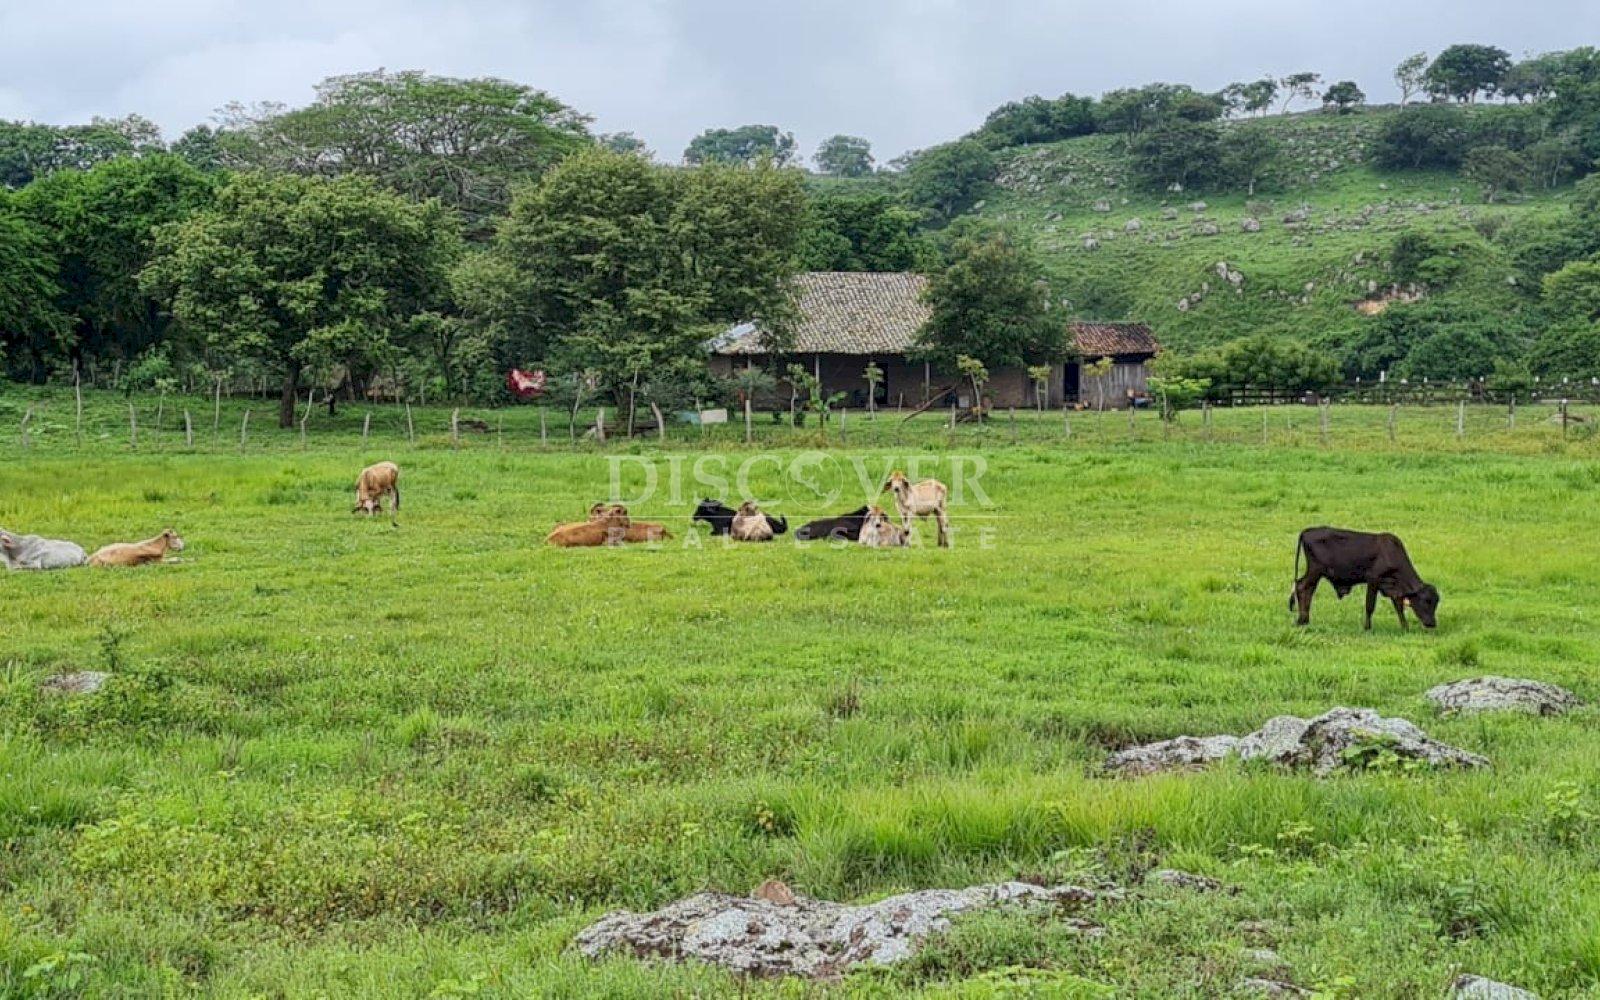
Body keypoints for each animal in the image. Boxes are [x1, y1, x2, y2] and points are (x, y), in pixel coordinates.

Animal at [1290, 527, 1440, 630]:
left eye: (1435, 602)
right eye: (1426, 601)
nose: (1432, 623)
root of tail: (1307, 531)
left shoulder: (1392, 588)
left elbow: (1399, 607)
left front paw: (1405, 627)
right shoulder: (1373, 580)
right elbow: (1370, 605)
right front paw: (1367, 627)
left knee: (1305, 589)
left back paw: (1304, 619)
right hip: (1315, 571)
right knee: (1302, 587)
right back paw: (1302, 619)